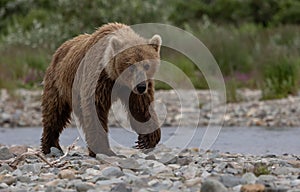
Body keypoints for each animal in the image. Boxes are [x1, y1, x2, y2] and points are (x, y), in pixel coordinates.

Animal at [41, 22, 162, 156]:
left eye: (147, 65)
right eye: (130, 66)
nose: (140, 86)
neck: (116, 78)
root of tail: (60, 48)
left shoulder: (132, 88)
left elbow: (141, 107)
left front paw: (146, 140)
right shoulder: (99, 80)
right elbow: (95, 109)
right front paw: (104, 149)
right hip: (59, 83)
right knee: (55, 112)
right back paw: (51, 146)